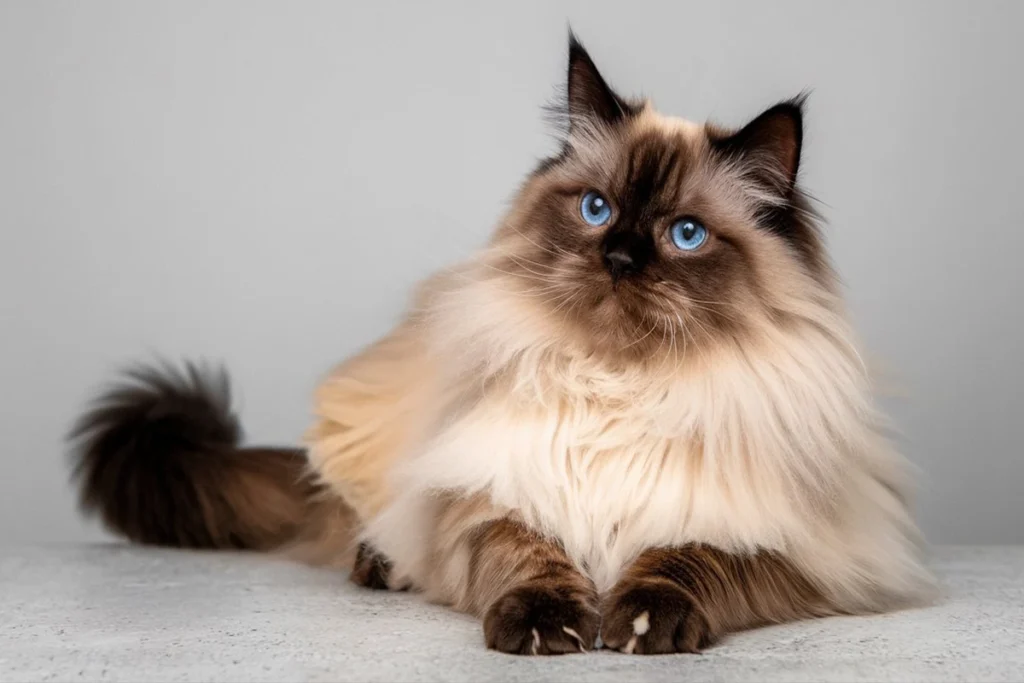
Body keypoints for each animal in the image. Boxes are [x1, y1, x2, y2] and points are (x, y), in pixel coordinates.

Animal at [70, 33, 937, 655]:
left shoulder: (778, 539)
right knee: (365, 519)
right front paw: (549, 625)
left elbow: (688, 558)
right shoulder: (489, 498)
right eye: (595, 209)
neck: (619, 384)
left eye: (684, 234)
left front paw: (640, 623)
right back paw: (383, 563)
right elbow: (526, 555)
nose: (619, 257)